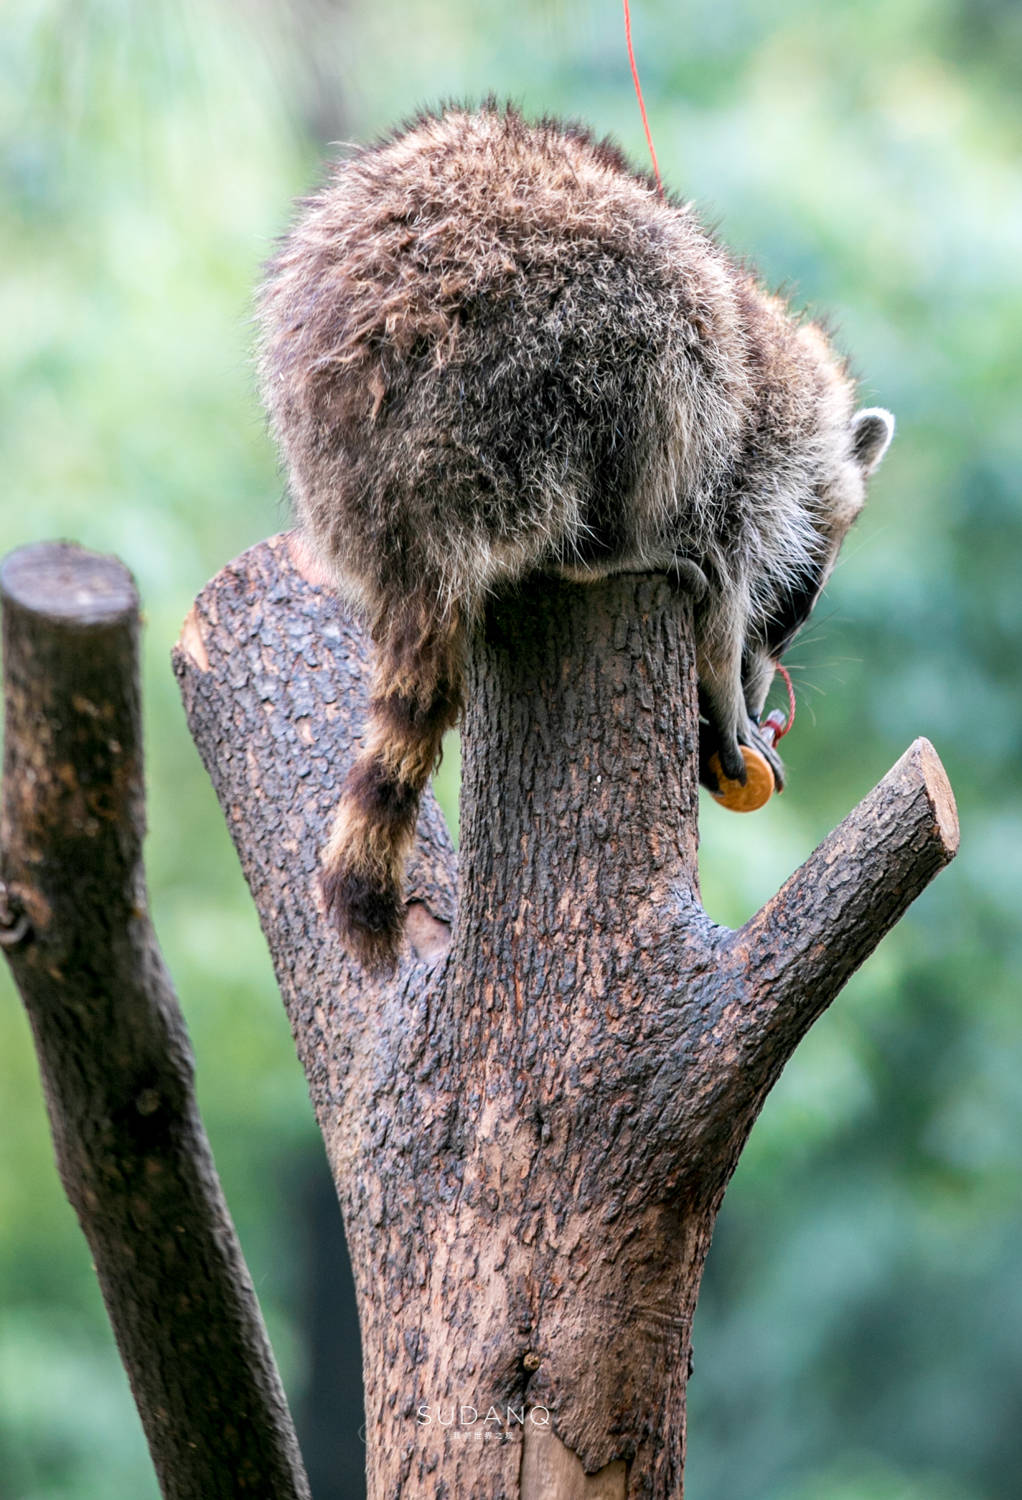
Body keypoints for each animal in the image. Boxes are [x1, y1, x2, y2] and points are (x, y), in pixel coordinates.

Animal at [256, 105, 894, 972]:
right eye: (795, 607)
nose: (765, 696)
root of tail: (398, 519)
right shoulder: (750, 451)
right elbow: (723, 567)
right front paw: (723, 682)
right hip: (528, 363)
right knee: (672, 328)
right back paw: (598, 553)